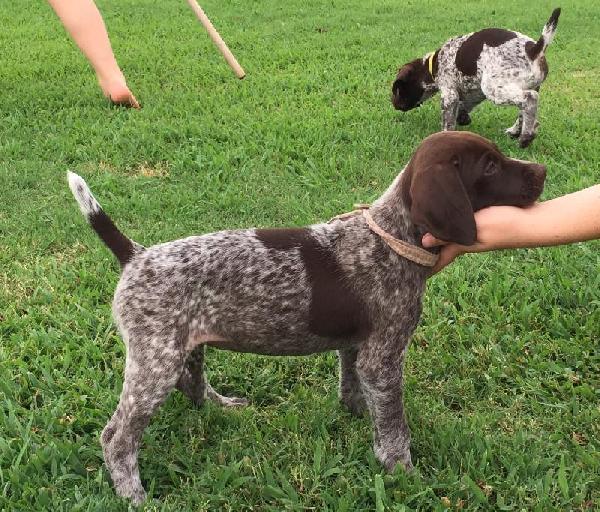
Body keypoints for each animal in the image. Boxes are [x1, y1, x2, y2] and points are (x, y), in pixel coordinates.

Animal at [68, 130, 548, 502]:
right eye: (489, 166)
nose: (542, 171)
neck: (391, 237)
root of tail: (136, 256)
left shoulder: (358, 349)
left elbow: (355, 390)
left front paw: (357, 419)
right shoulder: (383, 356)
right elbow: (395, 426)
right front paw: (404, 474)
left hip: (183, 344)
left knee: (193, 384)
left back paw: (224, 408)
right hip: (156, 360)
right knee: (117, 438)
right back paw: (134, 495)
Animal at [392, 8, 560, 148]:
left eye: (397, 90)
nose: (393, 104)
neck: (435, 64)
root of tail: (534, 49)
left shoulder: (449, 93)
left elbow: (447, 120)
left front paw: (444, 136)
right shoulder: (475, 91)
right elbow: (464, 105)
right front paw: (463, 117)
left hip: (493, 87)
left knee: (530, 99)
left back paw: (526, 137)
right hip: (522, 85)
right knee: (523, 108)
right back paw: (516, 131)